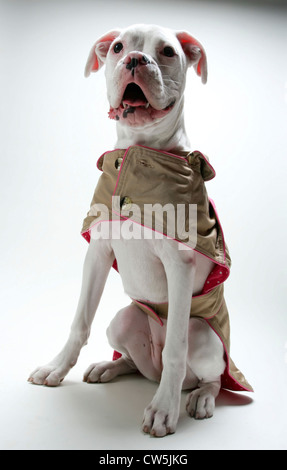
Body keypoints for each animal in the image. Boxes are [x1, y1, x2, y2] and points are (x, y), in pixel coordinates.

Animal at [28, 24, 251, 436]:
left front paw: (163, 410)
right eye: (118, 47)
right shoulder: (98, 251)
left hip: (204, 336)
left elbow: (177, 347)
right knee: (138, 363)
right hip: (124, 319)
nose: (135, 60)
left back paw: (200, 397)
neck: (141, 153)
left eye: (167, 52)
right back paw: (110, 366)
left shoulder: (180, 265)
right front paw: (56, 367)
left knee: (203, 373)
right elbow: (79, 321)